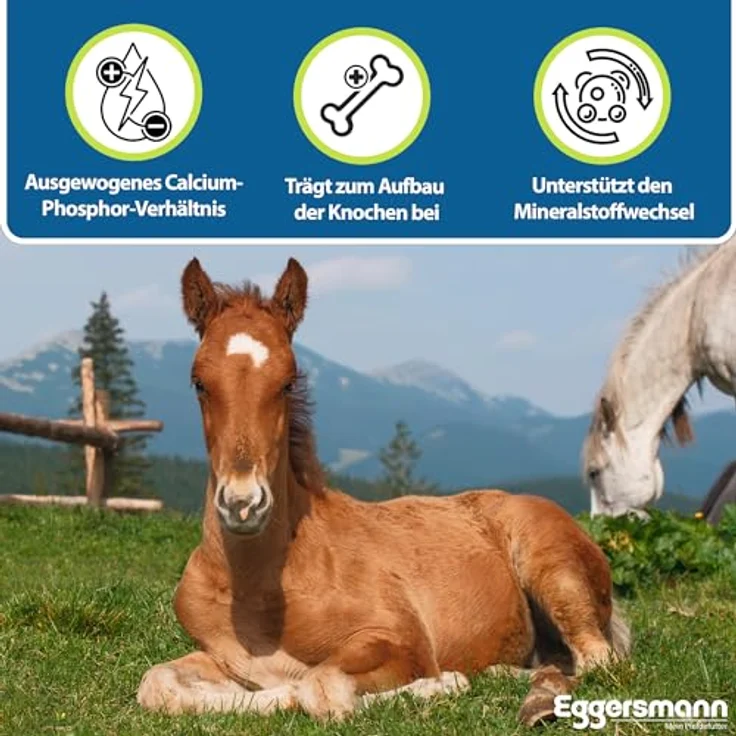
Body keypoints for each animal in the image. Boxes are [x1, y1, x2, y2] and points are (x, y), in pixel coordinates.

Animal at [137, 257, 630, 726]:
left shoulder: (398, 638)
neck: (259, 586)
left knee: (596, 661)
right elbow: (157, 685)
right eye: (199, 382)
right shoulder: (222, 658)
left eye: (288, 381)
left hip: (556, 572)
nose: (243, 504)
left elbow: (321, 687)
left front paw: (443, 683)